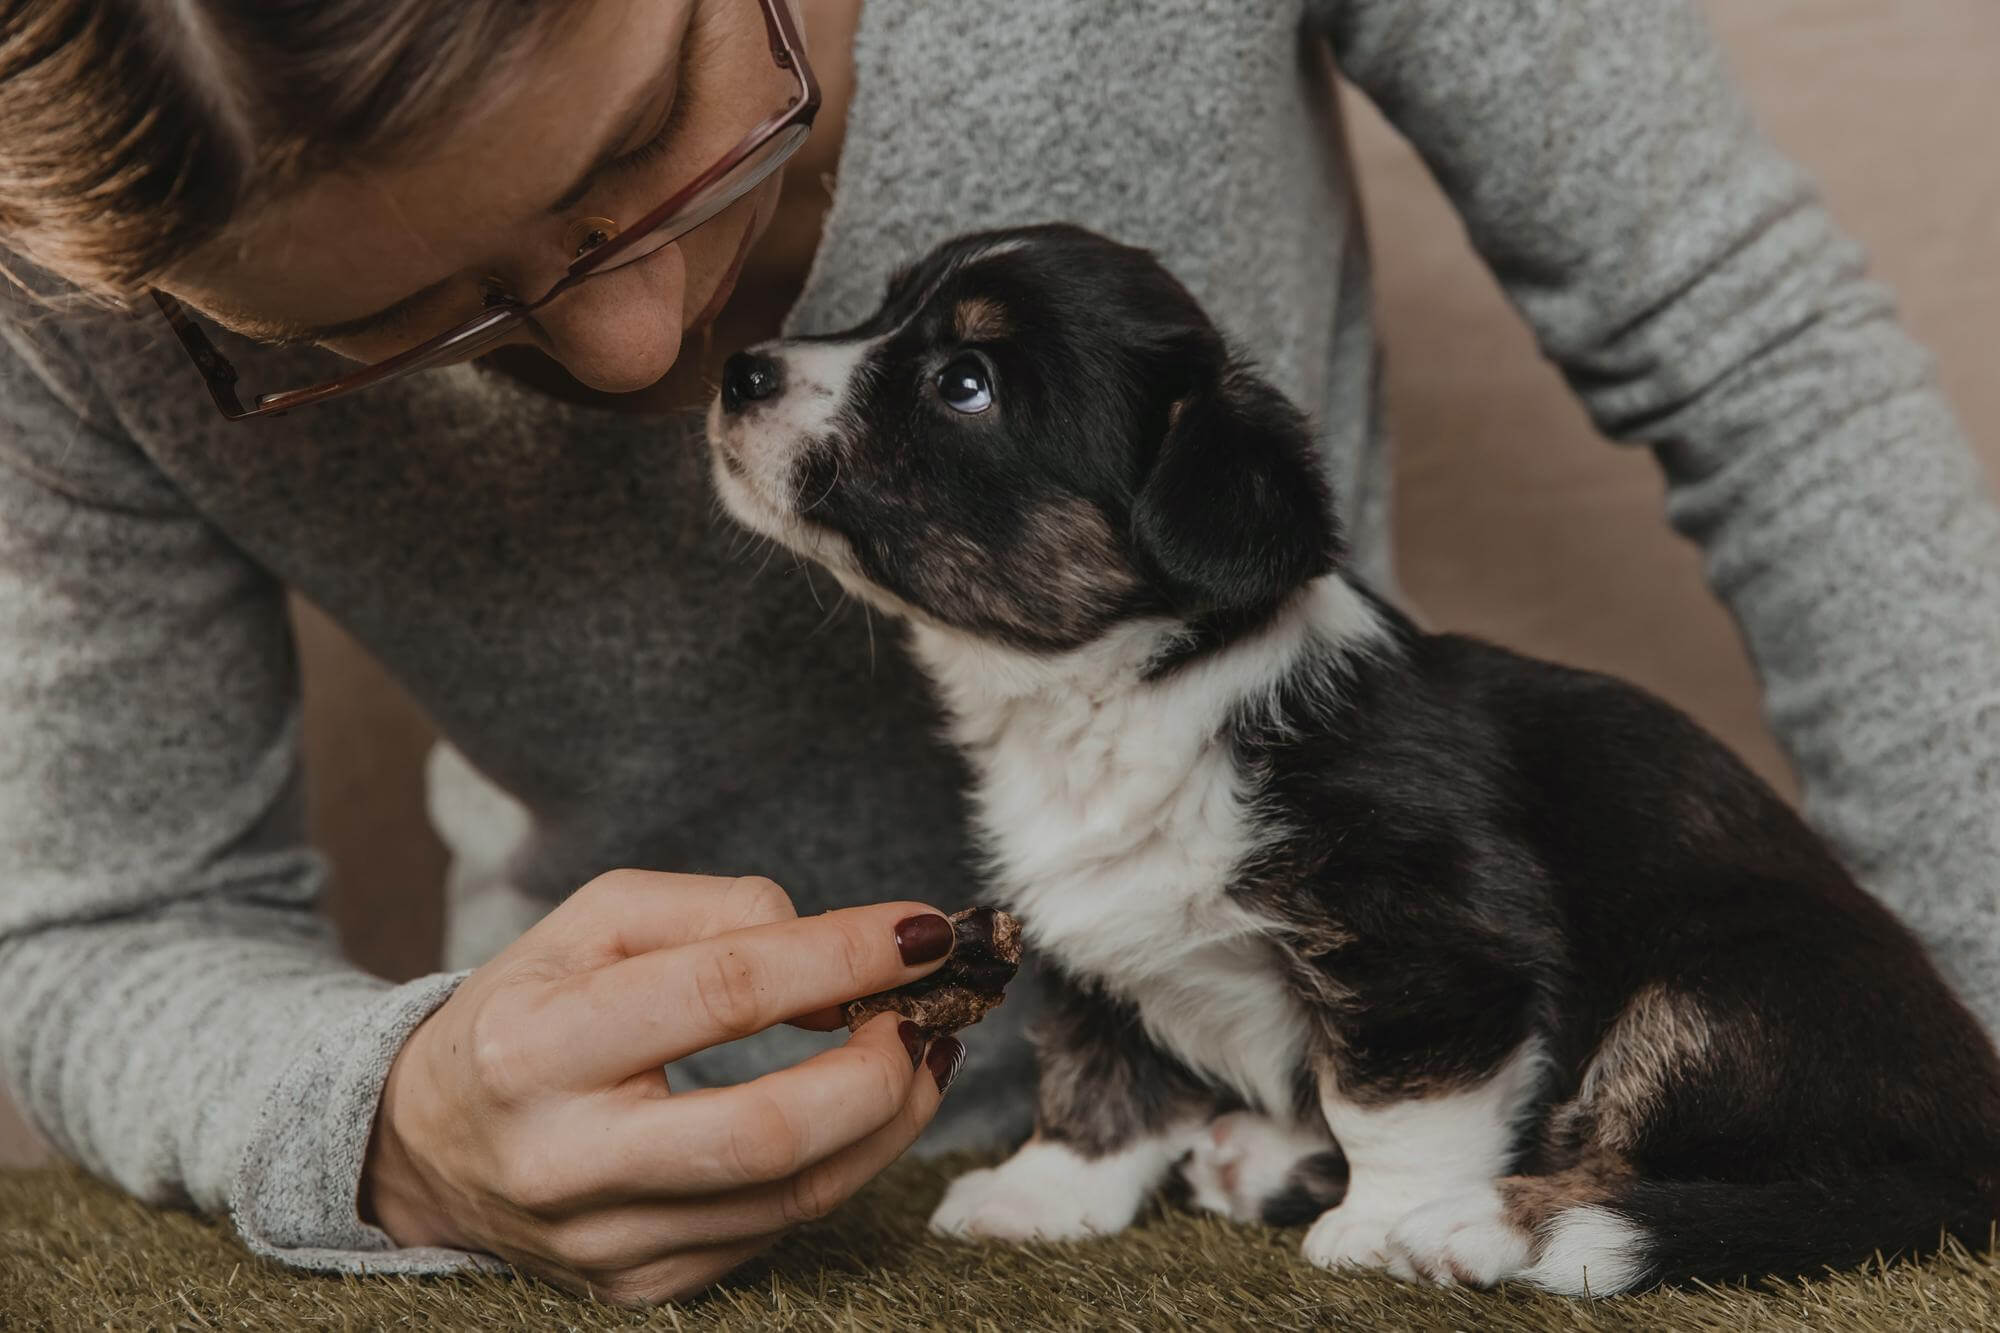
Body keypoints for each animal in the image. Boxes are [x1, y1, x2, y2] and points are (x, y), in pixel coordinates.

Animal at [704, 226, 2000, 1288]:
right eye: (883, 309)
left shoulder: (1429, 938)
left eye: (962, 384)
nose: (736, 370)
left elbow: (1392, 1097)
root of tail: (1968, 1161)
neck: (1121, 693)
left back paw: (1483, 1227)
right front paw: (1044, 1193)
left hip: (1725, 994)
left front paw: (1381, 1225)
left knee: (1659, 1177)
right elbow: (1094, 1066)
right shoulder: (1092, 928)